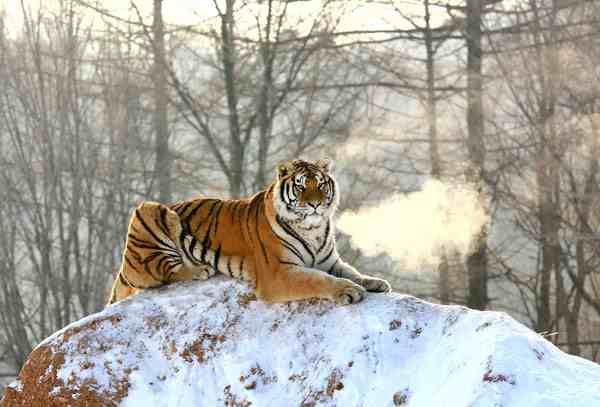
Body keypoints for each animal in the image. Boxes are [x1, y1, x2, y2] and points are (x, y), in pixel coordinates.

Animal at [106, 159, 390, 306]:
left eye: (320, 184)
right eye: (301, 186)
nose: (315, 204)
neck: (313, 228)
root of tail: (123, 268)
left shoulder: (330, 261)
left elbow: (352, 271)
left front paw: (375, 282)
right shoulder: (278, 272)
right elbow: (318, 279)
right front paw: (349, 291)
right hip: (150, 212)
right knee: (165, 273)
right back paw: (200, 269)